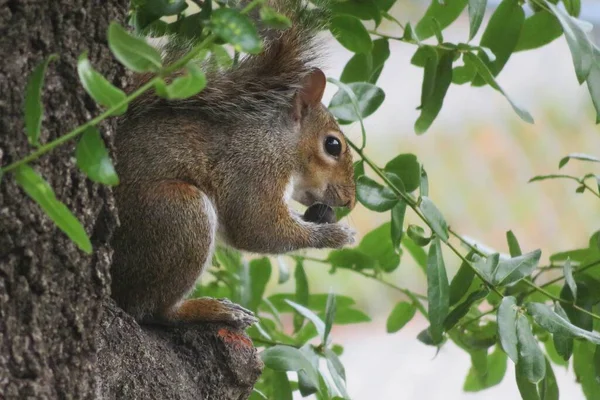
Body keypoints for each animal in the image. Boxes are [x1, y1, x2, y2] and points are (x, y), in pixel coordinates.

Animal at [110, 0, 356, 328]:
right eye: (333, 145)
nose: (350, 201)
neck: (277, 142)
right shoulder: (252, 169)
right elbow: (257, 227)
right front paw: (337, 235)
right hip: (177, 213)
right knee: (152, 310)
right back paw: (211, 309)